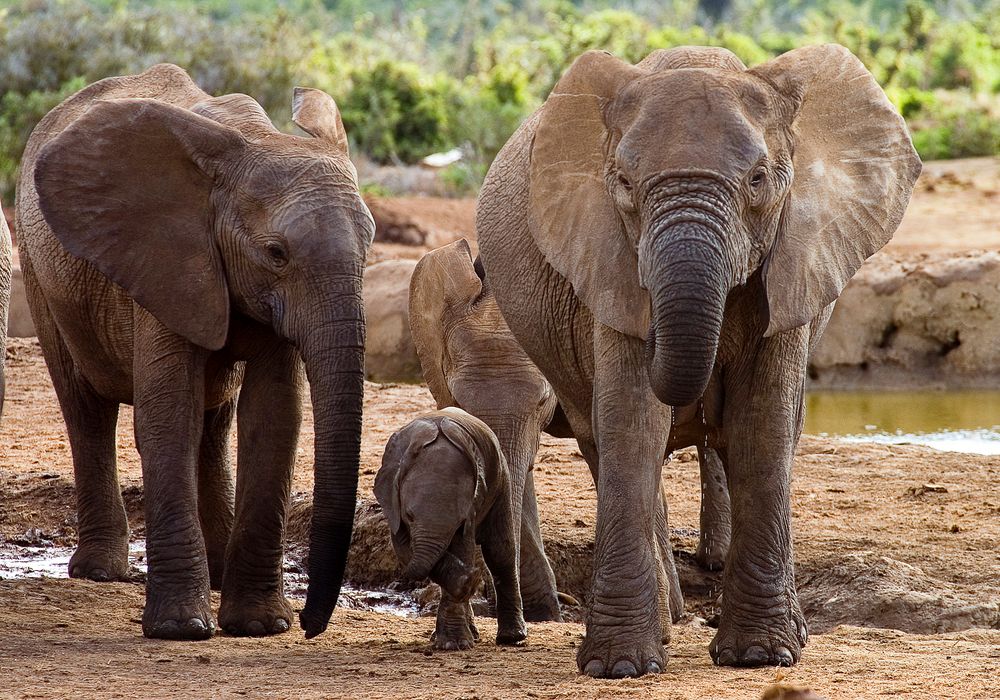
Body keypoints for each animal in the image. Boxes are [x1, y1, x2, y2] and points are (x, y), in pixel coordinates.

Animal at [14, 64, 376, 640]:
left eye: (371, 243)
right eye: (276, 253)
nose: (310, 626)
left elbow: (274, 417)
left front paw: (260, 626)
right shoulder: (165, 259)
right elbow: (169, 416)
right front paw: (181, 628)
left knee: (215, 418)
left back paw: (219, 575)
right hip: (42, 275)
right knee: (86, 407)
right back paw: (102, 572)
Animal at [376, 408, 528, 652]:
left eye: (459, 520)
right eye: (409, 515)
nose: (473, 578)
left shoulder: (471, 507)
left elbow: (463, 546)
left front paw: (453, 644)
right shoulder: (392, 502)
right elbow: (404, 548)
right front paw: (466, 581)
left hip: (501, 480)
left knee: (500, 552)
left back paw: (512, 638)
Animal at [476, 45, 920, 680]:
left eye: (758, 180)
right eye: (623, 183)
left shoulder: (796, 262)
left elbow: (762, 425)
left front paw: (761, 656)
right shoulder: (608, 261)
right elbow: (633, 422)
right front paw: (619, 666)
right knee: (603, 439)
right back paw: (666, 626)